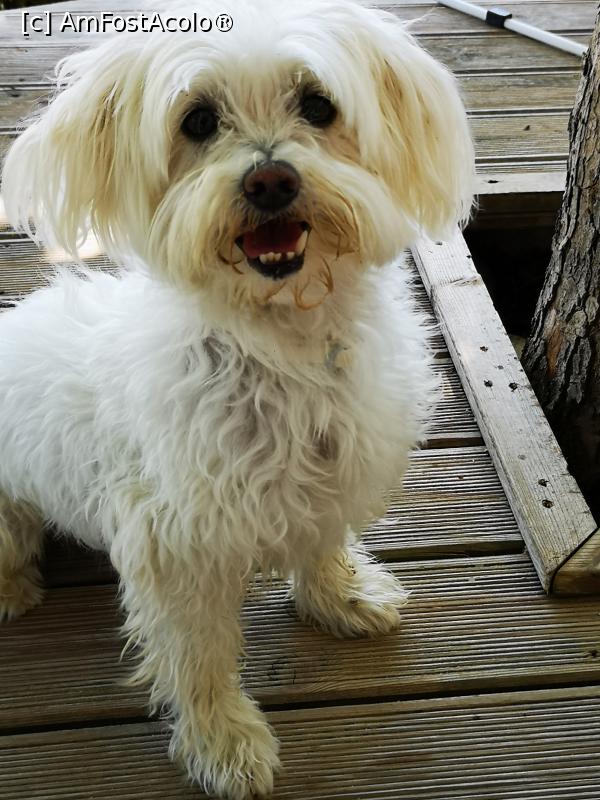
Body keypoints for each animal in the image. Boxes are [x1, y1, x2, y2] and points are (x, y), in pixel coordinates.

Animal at [0, 1, 474, 796]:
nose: (270, 182)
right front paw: (222, 740)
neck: (283, 342)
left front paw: (342, 597)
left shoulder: (331, 471)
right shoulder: (176, 542)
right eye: (196, 120)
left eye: (318, 104)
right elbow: (200, 654)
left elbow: (322, 543)